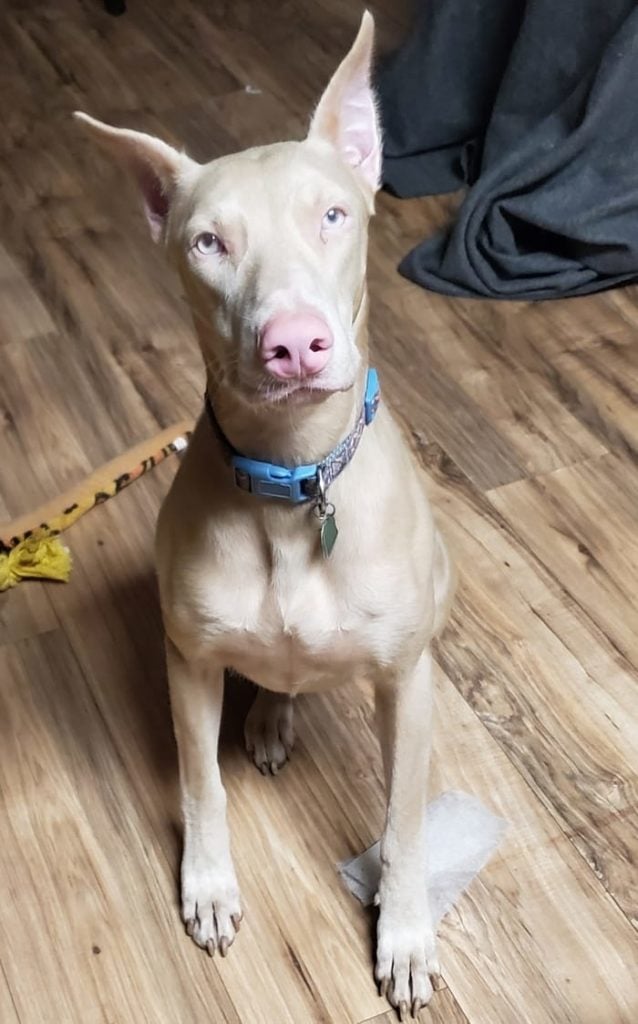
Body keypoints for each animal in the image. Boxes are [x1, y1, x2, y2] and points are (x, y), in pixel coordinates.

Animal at [76, 9, 454, 1015]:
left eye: (334, 216)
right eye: (208, 243)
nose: (293, 344)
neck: (293, 482)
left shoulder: (406, 683)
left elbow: (405, 821)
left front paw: (405, 932)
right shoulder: (189, 661)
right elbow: (200, 784)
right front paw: (208, 884)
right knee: (275, 678)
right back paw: (270, 721)